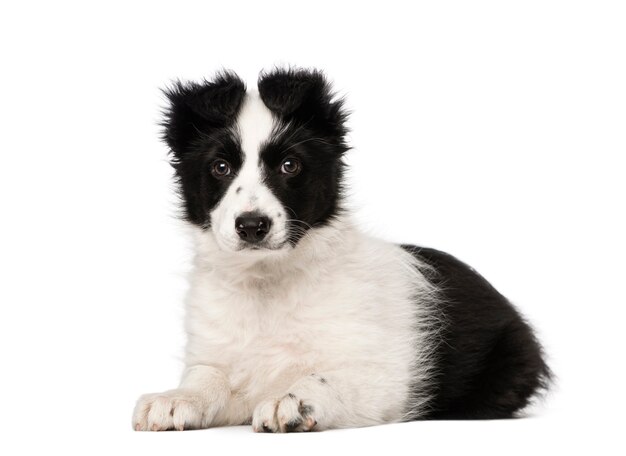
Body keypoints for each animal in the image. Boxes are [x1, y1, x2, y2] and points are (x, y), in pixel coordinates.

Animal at [130, 67, 544, 432]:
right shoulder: (219, 356)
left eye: (289, 165)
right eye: (219, 167)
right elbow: (207, 377)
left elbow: (324, 377)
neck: (268, 283)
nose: (251, 226)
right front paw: (176, 398)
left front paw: (294, 400)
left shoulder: (386, 379)